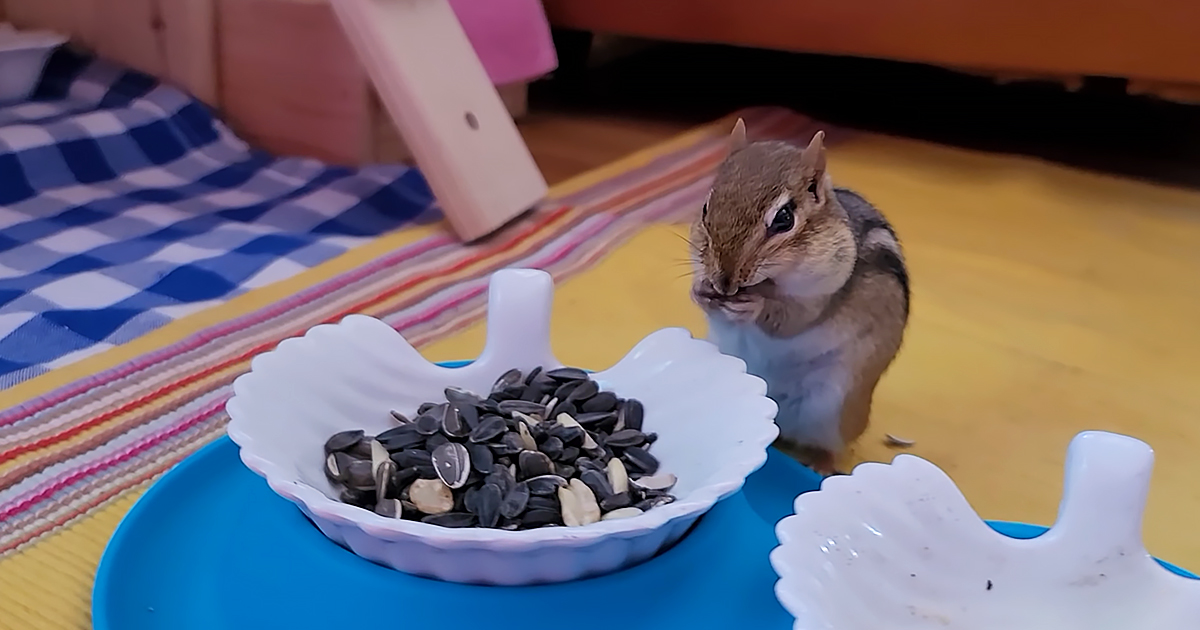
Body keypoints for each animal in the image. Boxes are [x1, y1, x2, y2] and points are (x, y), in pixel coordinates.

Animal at [689, 119, 909, 475]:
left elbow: (792, 320)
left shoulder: (822, 291)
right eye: (706, 208)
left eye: (784, 219)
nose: (724, 283)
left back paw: (820, 464)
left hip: (834, 409)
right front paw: (700, 292)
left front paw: (756, 305)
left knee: (832, 445)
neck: (767, 281)